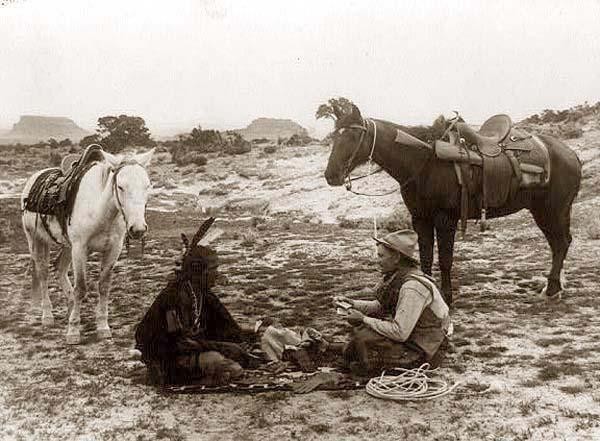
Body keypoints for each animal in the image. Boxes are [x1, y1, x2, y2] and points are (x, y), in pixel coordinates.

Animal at [21, 148, 155, 344]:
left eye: (147, 186)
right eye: (120, 187)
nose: (138, 229)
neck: (101, 211)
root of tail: (33, 179)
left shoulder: (113, 250)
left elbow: (104, 287)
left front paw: (103, 327)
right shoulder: (80, 249)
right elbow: (81, 288)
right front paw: (73, 331)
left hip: (67, 247)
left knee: (60, 270)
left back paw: (70, 308)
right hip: (36, 240)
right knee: (43, 274)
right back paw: (47, 315)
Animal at [324, 100, 580, 304]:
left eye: (353, 135)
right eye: (335, 136)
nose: (331, 175)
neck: (426, 162)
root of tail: (570, 154)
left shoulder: (445, 219)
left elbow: (445, 260)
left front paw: (446, 297)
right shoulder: (420, 219)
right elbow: (425, 257)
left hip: (552, 211)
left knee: (560, 244)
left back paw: (552, 289)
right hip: (547, 211)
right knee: (559, 244)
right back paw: (554, 287)